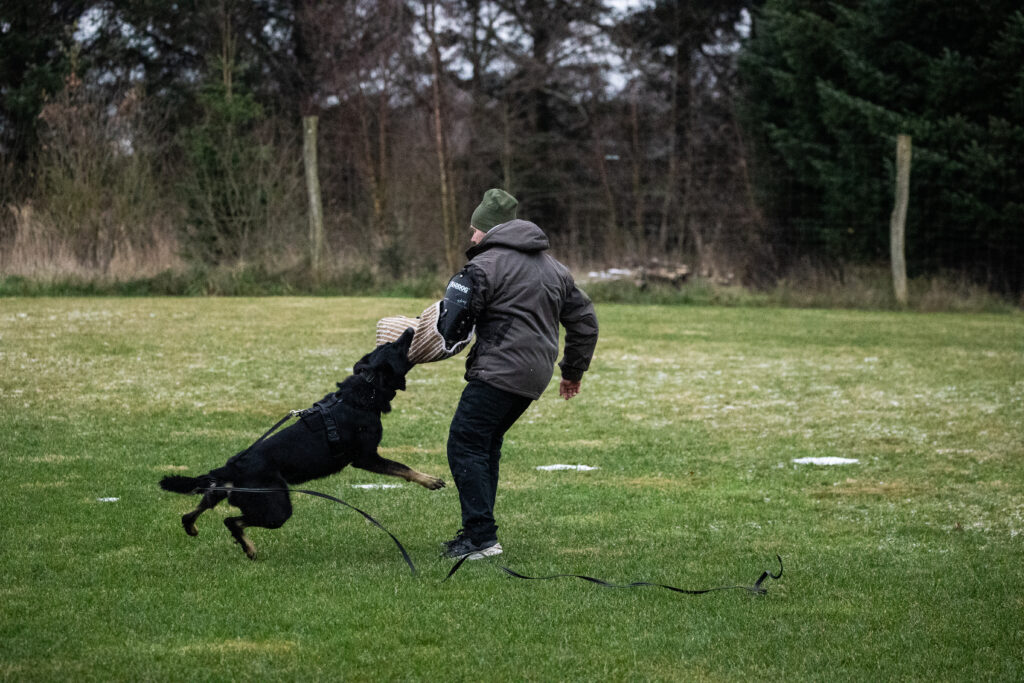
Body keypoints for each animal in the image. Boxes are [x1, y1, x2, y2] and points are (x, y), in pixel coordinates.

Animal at [160, 329, 444, 561]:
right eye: (397, 347)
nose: (410, 329)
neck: (366, 388)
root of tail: (230, 469)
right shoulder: (366, 458)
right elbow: (402, 466)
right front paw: (430, 480)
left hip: (218, 493)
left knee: (191, 513)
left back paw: (195, 528)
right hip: (278, 508)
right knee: (232, 521)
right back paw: (250, 549)